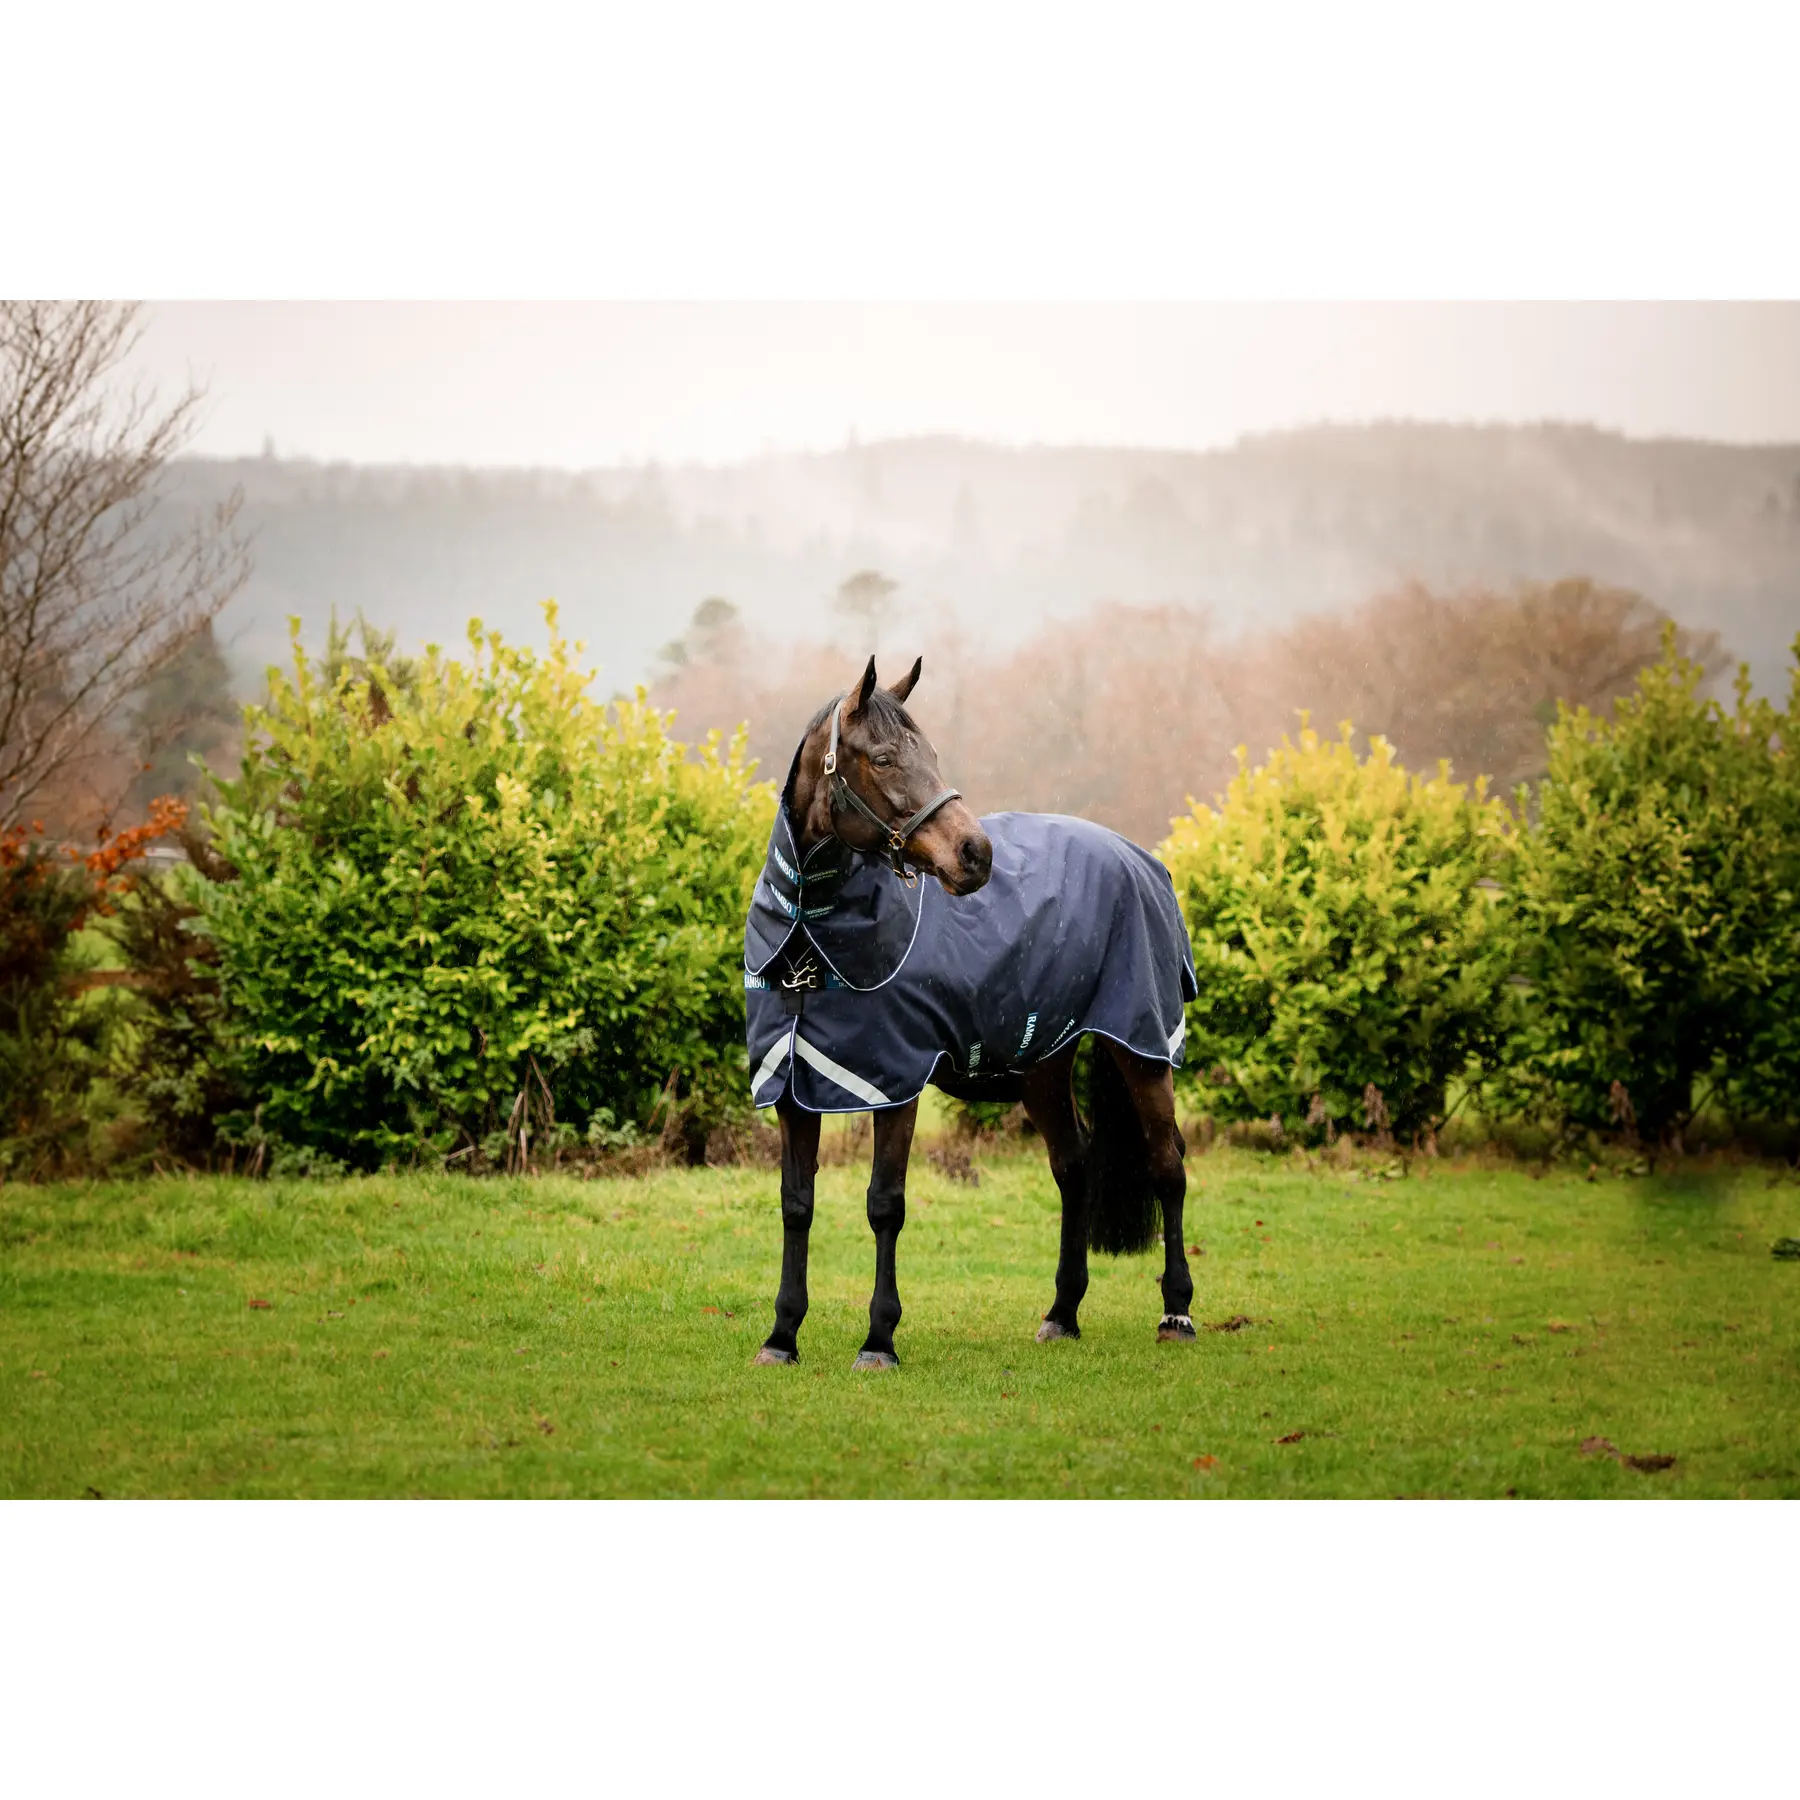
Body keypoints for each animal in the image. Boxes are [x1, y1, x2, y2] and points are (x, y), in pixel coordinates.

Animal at [743, 654, 1200, 1370]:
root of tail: (1142, 859)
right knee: (1074, 1166)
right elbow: (797, 1205)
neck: (810, 943)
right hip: (1045, 1065)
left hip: (1141, 1046)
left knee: (1167, 1165)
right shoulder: (794, 1087)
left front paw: (878, 1340)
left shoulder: (895, 1082)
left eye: (930, 753)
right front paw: (782, 1335)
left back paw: (1176, 1311)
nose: (975, 855)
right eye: (882, 758)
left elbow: (885, 1204)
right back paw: (1062, 1313)